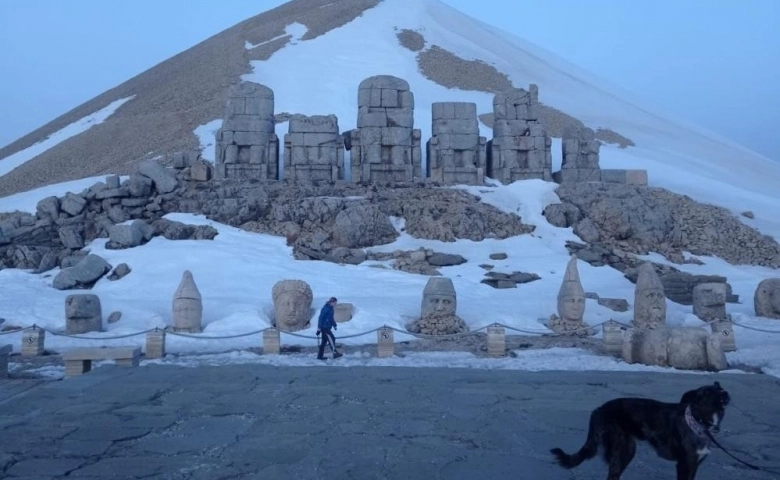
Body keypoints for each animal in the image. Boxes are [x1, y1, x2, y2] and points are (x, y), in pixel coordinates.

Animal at [552, 382, 728, 480]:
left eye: (719, 387)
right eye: (707, 392)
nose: (725, 393)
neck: (698, 423)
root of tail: (598, 409)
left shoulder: (694, 465)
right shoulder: (685, 464)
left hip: (627, 450)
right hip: (622, 451)